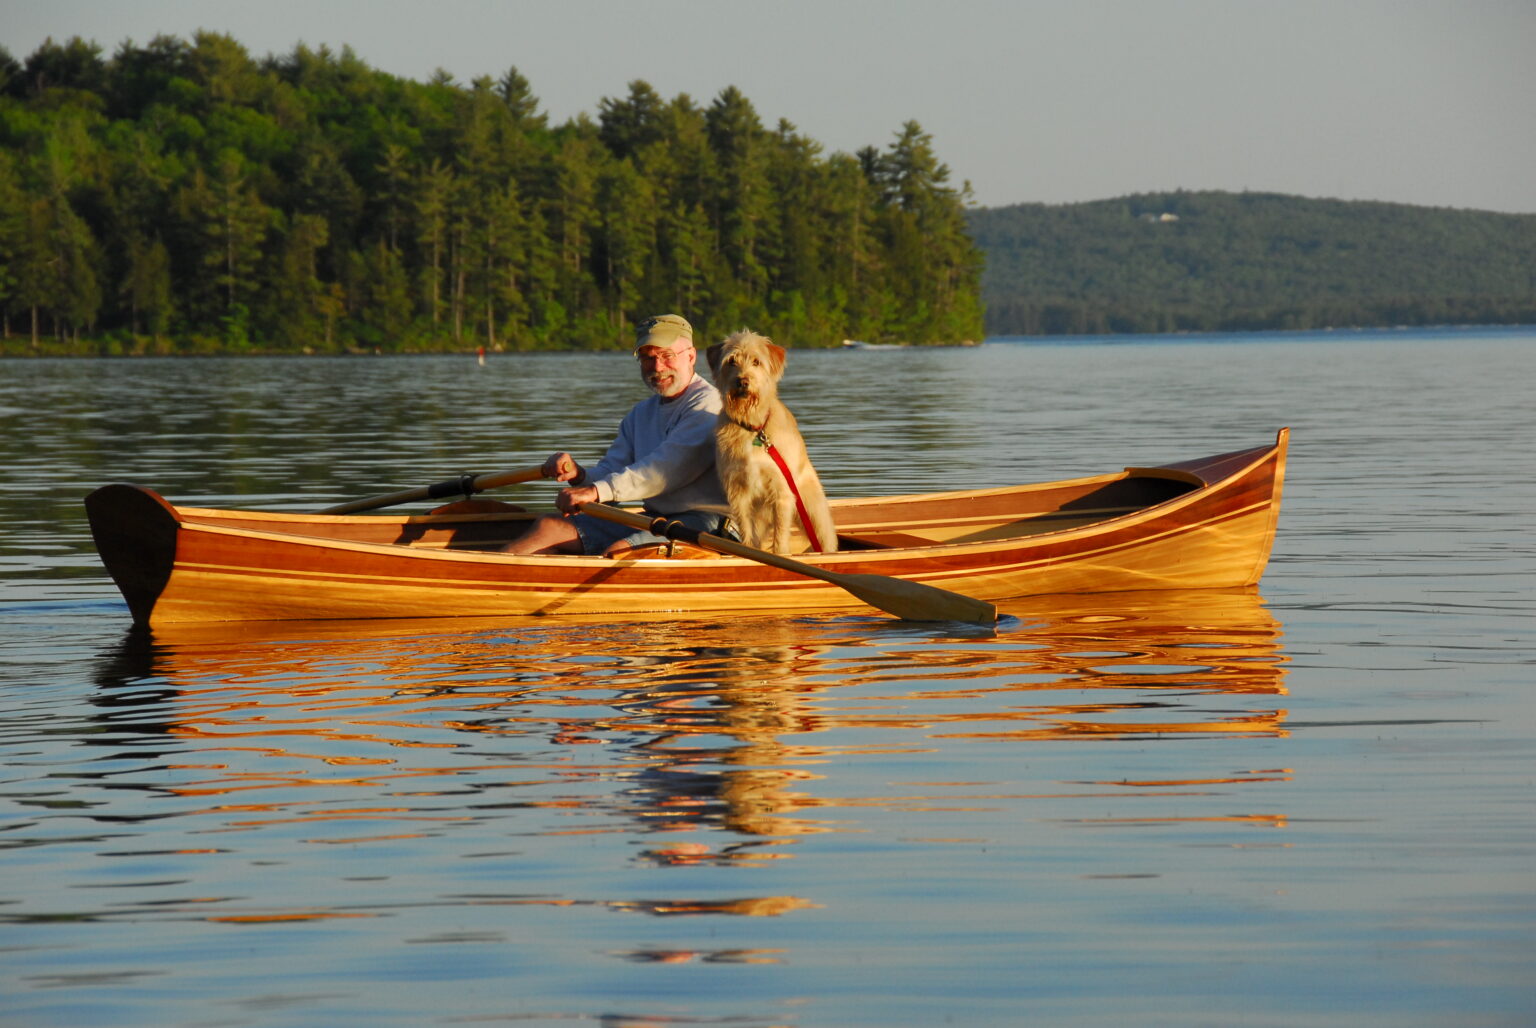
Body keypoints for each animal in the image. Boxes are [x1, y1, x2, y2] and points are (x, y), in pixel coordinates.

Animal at [706, 328, 841, 553]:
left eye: (756, 362)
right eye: (731, 361)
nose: (742, 381)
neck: (753, 428)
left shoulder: (781, 491)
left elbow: (780, 533)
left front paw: (781, 553)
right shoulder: (738, 491)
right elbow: (746, 528)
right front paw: (747, 550)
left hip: (814, 513)